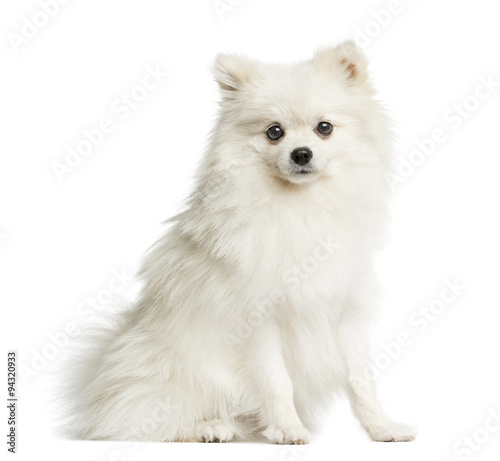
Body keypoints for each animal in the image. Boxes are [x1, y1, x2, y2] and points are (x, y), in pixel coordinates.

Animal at [68, 42, 416, 442]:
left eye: (324, 128)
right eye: (274, 132)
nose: (301, 153)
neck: (300, 205)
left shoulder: (345, 310)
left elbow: (362, 382)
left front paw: (382, 427)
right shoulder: (258, 319)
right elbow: (277, 383)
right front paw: (288, 429)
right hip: (179, 372)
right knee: (148, 419)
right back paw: (209, 427)